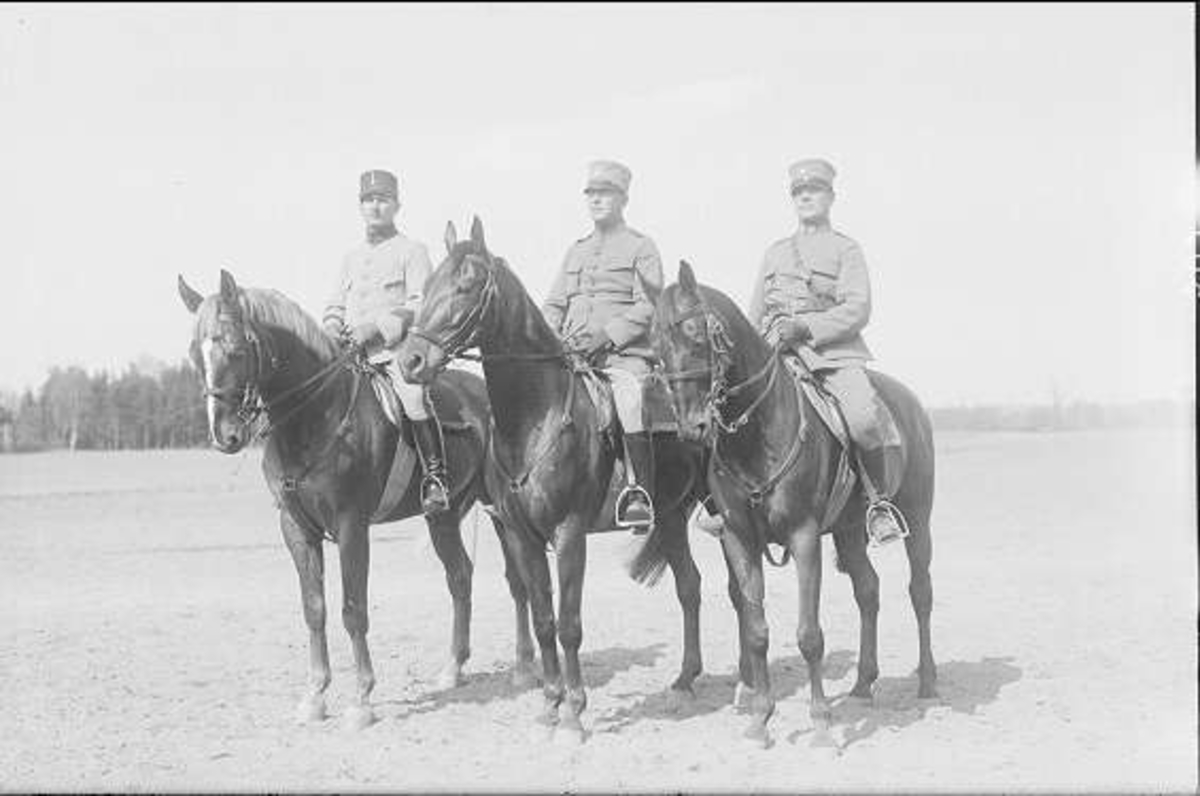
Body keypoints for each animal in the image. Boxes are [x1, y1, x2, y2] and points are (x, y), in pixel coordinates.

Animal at [177, 269, 539, 731]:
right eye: (195, 353)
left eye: (236, 349)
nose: (225, 435)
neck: (315, 417)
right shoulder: (297, 529)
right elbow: (314, 608)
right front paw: (314, 696)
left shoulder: (351, 525)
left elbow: (353, 609)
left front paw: (362, 700)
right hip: (442, 518)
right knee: (460, 577)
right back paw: (452, 669)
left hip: (502, 514)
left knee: (517, 580)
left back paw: (524, 667)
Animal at [395, 217, 709, 745]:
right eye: (430, 283)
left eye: (466, 285)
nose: (410, 361)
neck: (535, 418)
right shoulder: (522, 535)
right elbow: (543, 620)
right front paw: (549, 705)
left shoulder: (568, 534)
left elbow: (569, 624)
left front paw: (574, 714)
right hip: (670, 518)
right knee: (689, 586)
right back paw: (686, 681)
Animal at [649, 260, 937, 747]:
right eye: (655, 349)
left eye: (695, 335)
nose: (692, 427)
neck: (757, 433)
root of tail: (912, 404)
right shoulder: (740, 540)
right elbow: (757, 630)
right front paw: (759, 719)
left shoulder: (804, 537)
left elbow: (809, 635)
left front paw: (820, 723)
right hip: (849, 531)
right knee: (868, 591)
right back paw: (862, 687)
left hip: (919, 520)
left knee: (920, 592)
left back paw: (929, 683)